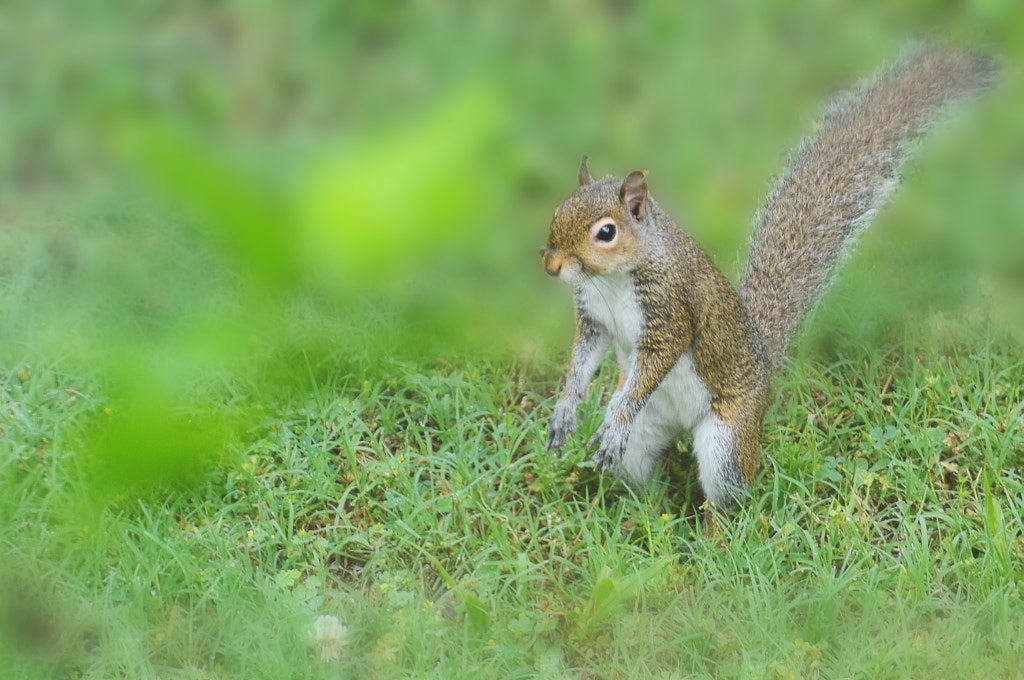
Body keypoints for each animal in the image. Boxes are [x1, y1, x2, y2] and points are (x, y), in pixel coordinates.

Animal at [540, 43, 995, 510]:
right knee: (641, 472)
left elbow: (652, 365)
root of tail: (763, 366)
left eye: (606, 232)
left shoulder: (670, 312)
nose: (552, 266)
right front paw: (564, 410)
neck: (612, 281)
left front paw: (614, 417)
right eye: (559, 209)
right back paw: (645, 513)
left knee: (729, 496)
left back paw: (709, 523)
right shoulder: (594, 318)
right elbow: (582, 361)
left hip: (725, 438)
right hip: (647, 433)